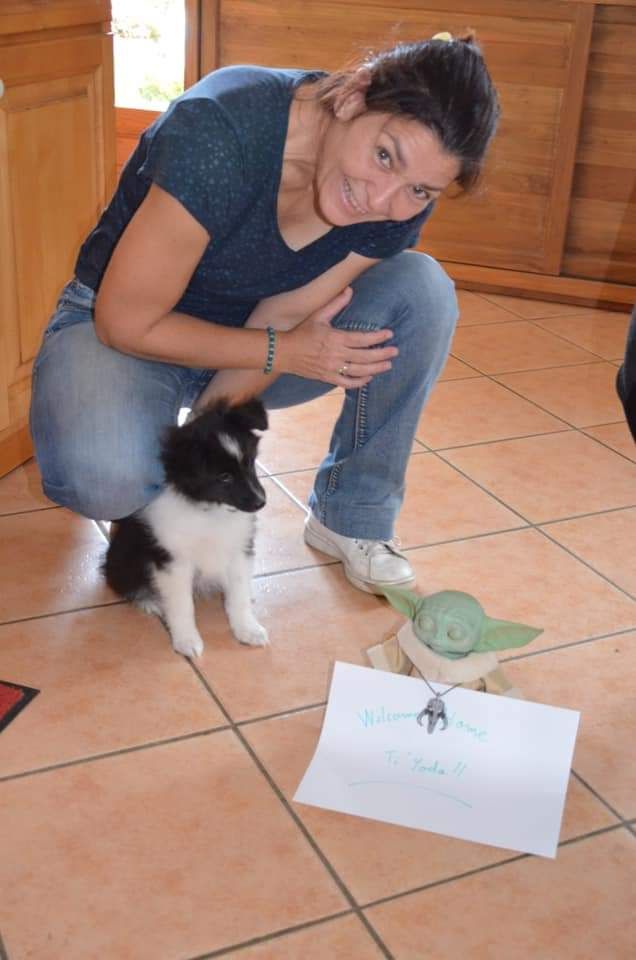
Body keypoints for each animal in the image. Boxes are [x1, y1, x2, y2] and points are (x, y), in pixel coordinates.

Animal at [103, 397, 269, 658]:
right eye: (224, 477)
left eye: (250, 462)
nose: (261, 502)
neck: (209, 512)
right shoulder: (173, 562)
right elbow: (182, 605)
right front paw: (187, 641)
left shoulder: (239, 549)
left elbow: (239, 594)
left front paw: (248, 629)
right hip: (124, 560)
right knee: (126, 584)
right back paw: (151, 602)